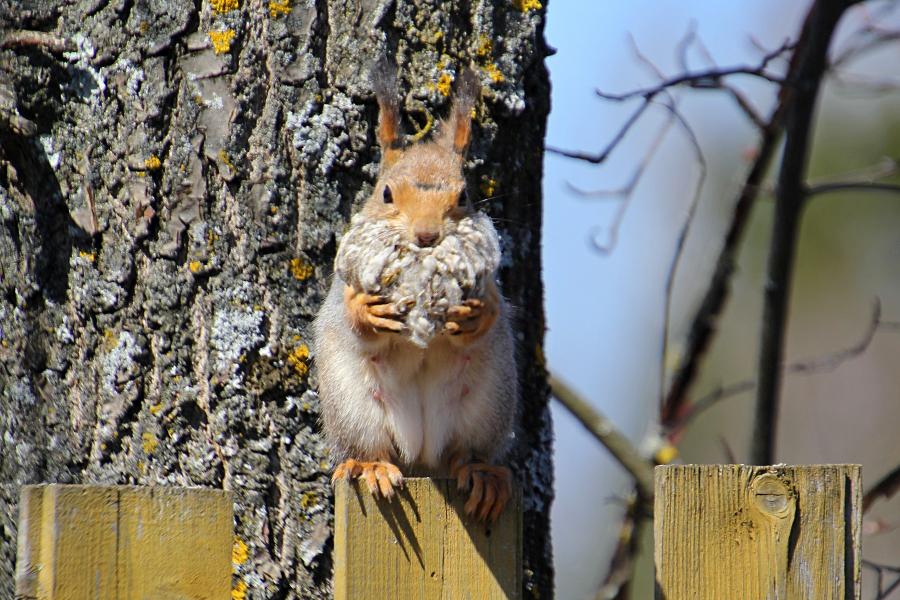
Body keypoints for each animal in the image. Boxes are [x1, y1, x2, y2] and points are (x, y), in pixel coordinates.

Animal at [312, 61, 516, 520]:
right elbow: (348, 316)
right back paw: (370, 466)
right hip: (353, 405)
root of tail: (422, 457)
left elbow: (492, 310)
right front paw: (366, 312)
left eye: (464, 194)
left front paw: (476, 316)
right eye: (386, 193)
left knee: (464, 453)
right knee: (370, 446)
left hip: (486, 402)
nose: (426, 235)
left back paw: (480, 474)